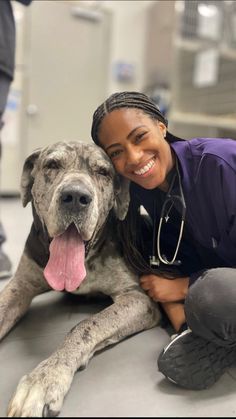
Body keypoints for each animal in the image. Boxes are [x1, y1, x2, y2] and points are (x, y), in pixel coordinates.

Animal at [0, 142, 160, 419]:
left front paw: (44, 378)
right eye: (52, 164)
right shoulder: (21, 285)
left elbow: (85, 326)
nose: (75, 197)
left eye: (103, 172)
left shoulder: (137, 297)